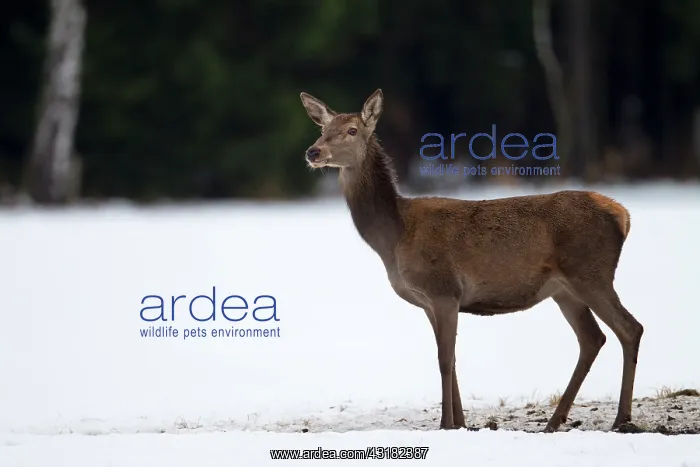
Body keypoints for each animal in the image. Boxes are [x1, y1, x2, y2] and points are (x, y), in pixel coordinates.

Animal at [299, 88, 644, 432]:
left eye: (352, 130)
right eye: (322, 129)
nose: (313, 152)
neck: (394, 237)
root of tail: (623, 215)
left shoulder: (444, 289)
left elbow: (444, 359)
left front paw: (445, 424)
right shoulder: (429, 302)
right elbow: (449, 358)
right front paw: (461, 424)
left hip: (591, 273)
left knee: (630, 328)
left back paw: (620, 418)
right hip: (564, 290)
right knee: (593, 338)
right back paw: (555, 421)